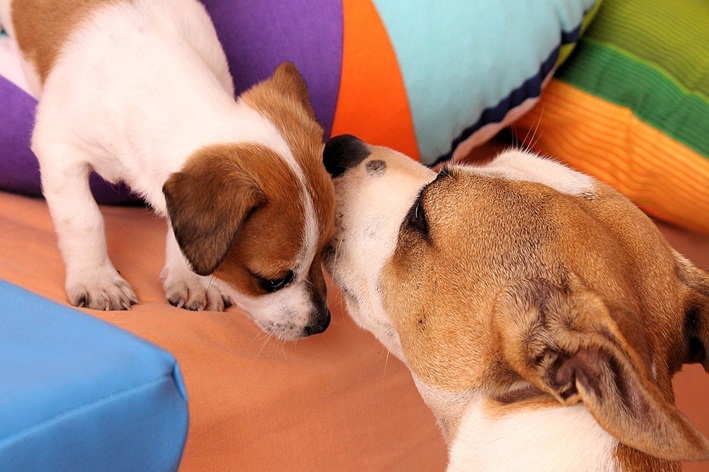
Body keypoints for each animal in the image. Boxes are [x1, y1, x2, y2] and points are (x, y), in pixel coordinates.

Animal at [0, 0, 334, 340]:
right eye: (273, 281)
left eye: (324, 251)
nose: (323, 324)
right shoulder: (60, 150)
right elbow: (84, 220)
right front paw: (97, 280)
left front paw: (192, 281)